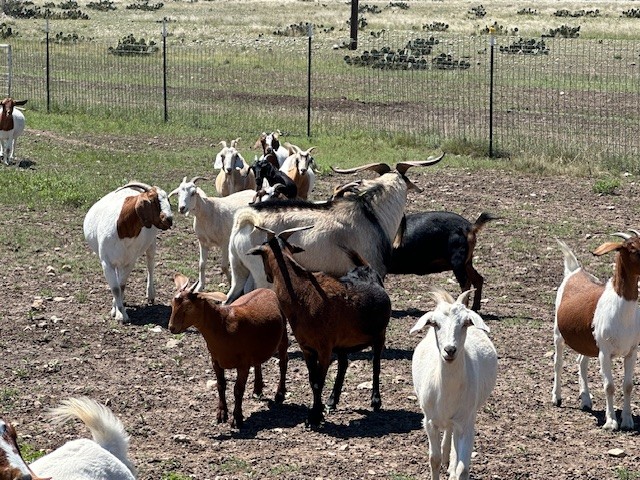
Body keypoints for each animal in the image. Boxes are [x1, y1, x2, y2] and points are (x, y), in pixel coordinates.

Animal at [83, 181, 173, 322]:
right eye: (153, 200)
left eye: (168, 199)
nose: (169, 219)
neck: (122, 230)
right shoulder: (106, 262)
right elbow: (115, 288)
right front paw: (119, 311)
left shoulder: (129, 262)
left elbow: (121, 286)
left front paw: (120, 313)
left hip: (151, 243)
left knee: (150, 264)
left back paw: (150, 294)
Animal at [169, 274, 288, 428]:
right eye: (172, 303)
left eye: (188, 306)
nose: (172, 327)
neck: (223, 327)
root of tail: (267, 290)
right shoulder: (216, 361)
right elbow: (221, 385)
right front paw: (221, 414)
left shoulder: (243, 364)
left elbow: (238, 389)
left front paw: (237, 418)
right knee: (258, 363)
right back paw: (257, 389)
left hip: (283, 334)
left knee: (283, 363)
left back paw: (280, 394)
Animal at [247, 225, 391, 426]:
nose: (268, 277)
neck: (303, 295)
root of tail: (367, 268)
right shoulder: (307, 347)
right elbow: (312, 379)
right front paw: (319, 411)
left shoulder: (324, 348)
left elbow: (318, 382)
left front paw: (314, 416)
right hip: (343, 343)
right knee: (344, 364)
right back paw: (332, 400)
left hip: (379, 335)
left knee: (376, 364)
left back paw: (375, 401)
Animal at [411, 288, 497, 480]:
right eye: (434, 323)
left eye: (466, 323)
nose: (450, 350)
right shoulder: (429, 421)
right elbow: (434, 459)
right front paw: (440, 461)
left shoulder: (467, 422)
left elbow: (462, 468)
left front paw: (453, 467)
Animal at [552, 233, 640, 430]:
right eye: (633, 248)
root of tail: (574, 271)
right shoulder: (604, 352)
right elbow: (609, 386)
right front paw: (611, 422)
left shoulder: (632, 351)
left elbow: (628, 386)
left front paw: (628, 420)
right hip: (558, 333)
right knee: (558, 363)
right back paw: (556, 398)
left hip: (587, 341)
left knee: (581, 362)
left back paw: (585, 400)